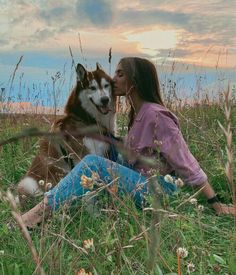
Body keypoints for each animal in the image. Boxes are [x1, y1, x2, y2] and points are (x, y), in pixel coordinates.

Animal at [16, 63, 116, 206]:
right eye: (92, 88)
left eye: (106, 85)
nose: (105, 100)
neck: (87, 120)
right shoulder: (83, 157)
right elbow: (89, 191)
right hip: (28, 183)